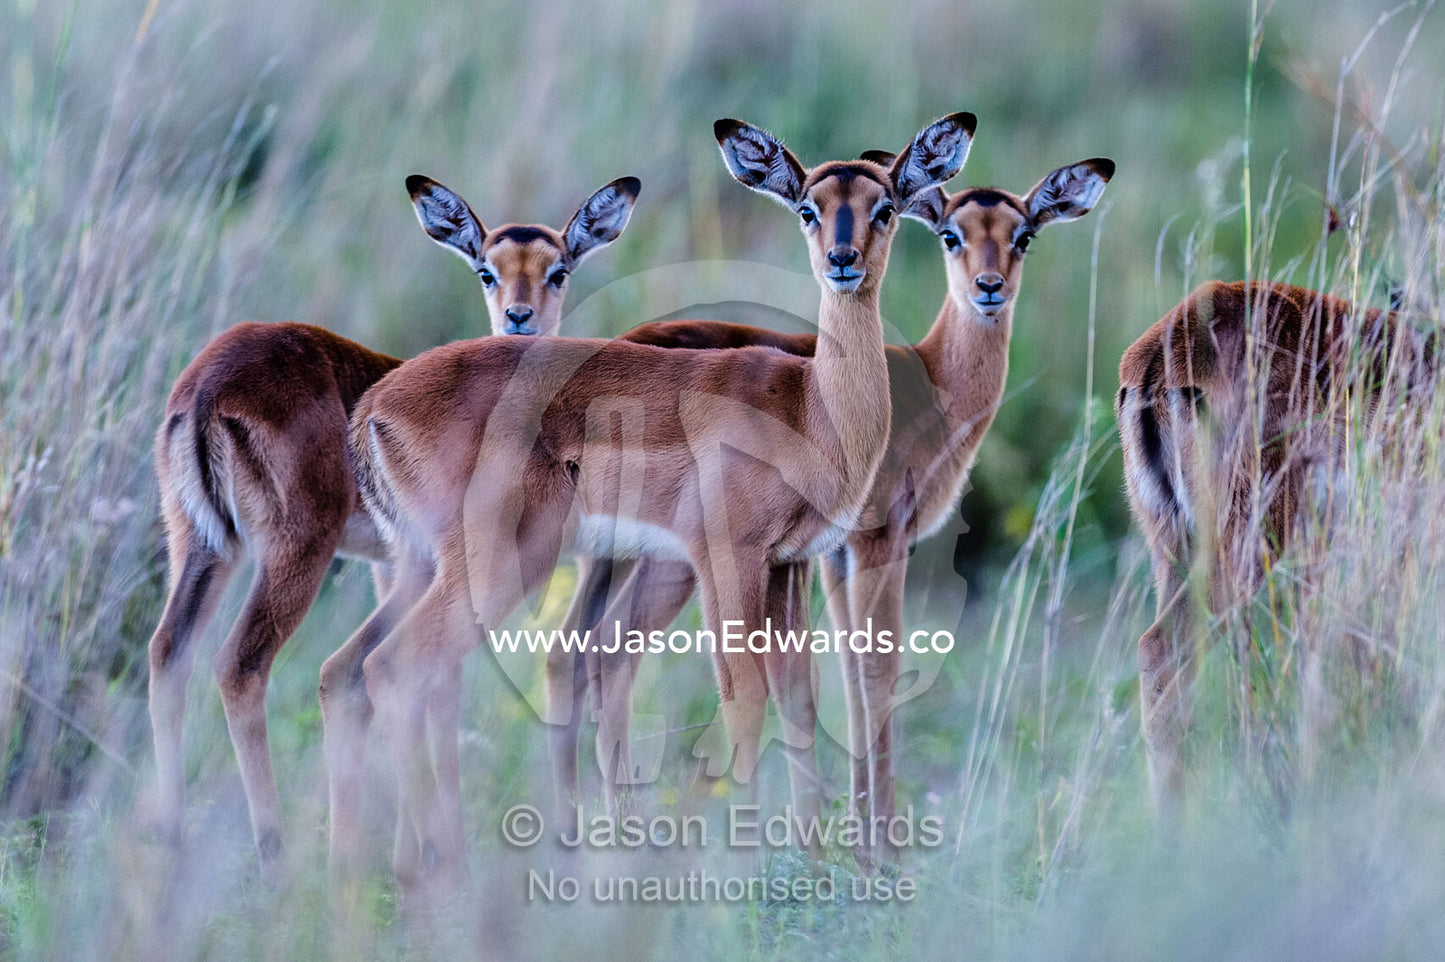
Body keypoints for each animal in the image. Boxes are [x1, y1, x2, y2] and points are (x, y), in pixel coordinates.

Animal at [146, 174, 639, 870]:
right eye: (487, 271)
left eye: (558, 270)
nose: (519, 319)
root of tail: (207, 387)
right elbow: (434, 691)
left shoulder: (395, 568)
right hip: (296, 551)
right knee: (242, 664)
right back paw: (274, 850)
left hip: (205, 546)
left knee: (169, 652)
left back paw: (174, 840)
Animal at [325, 113, 976, 901]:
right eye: (807, 208)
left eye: (883, 208)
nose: (842, 261)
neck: (810, 406)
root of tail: (374, 406)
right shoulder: (727, 556)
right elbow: (743, 697)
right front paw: (748, 880)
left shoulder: (785, 566)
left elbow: (798, 699)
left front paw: (816, 869)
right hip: (499, 563)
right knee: (401, 669)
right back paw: (441, 874)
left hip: (423, 566)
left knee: (352, 672)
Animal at [549, 156, 1115, 861]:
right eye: (951, 235)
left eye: (1024, 235)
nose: (990, 289)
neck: (930, 384)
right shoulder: (875, 539)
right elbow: (875, 671)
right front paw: (881, 853)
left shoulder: (825, 554)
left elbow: (840, 672)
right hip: (678, 560)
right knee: (612, 653)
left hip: (623, 553)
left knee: (578, 652)